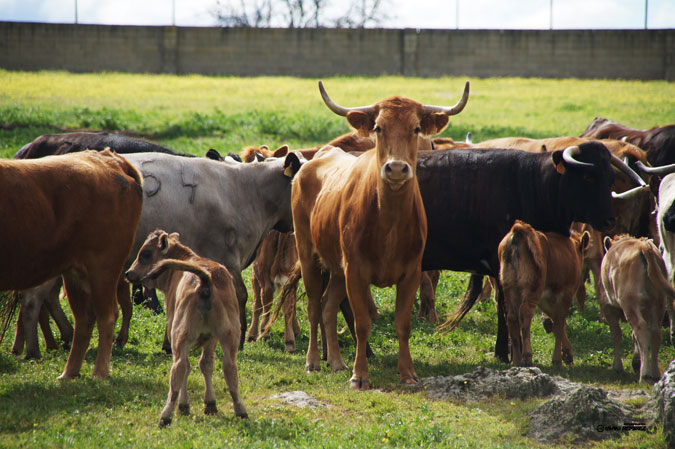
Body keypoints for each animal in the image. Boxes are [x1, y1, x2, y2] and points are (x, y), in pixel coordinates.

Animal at [0, 150, 143, 378]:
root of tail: (111, 159)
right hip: (76, 274)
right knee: (83, 319)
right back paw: (68, 372)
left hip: (102, 269)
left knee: (106, 315)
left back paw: (98, 372)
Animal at [125, 229, 247, 426]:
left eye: (146, 254)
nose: (128, 273)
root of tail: (205, 281)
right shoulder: (211, 337)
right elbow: (206, 364)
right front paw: (210, 404)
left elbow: (187, 368)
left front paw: (184, 406)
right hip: (229, 336)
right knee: (229, 368)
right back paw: (241, 410)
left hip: (180, 336)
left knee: (180, 367)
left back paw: (166, 416)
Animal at [294, 80, 472, 388]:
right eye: (378, 127)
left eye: (416, 128)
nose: (397, 168)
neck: (389, 224)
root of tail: (317, 157)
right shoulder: (356, 272)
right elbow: (362, 324)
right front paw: (359, 376)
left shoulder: (411, 272)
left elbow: (403, 324)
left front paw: (408, 373)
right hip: (308, 255)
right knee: (315, 306)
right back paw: (313, 361)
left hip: (337, 268)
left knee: (328, 307)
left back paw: (336, 362)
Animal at [500, 219, 588, 366]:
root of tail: (518, 232)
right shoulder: (566, 294)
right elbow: (559, 324)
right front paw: (557, 359)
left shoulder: (546, 300)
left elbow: (555, 321)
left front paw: (567, 353)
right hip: (532, 289)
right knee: (525, 315)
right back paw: (527, 357)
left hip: (509, 289)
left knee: (512, 318)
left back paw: (517, 360)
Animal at [600, 234, 672, 382]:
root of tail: (643, 246)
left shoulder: (609, 308)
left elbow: (616, 334)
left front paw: (617, 366)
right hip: (658, 303)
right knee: (655, 332)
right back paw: (654, 372)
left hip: (630, 303)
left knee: (641, 329)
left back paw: (644, 375)